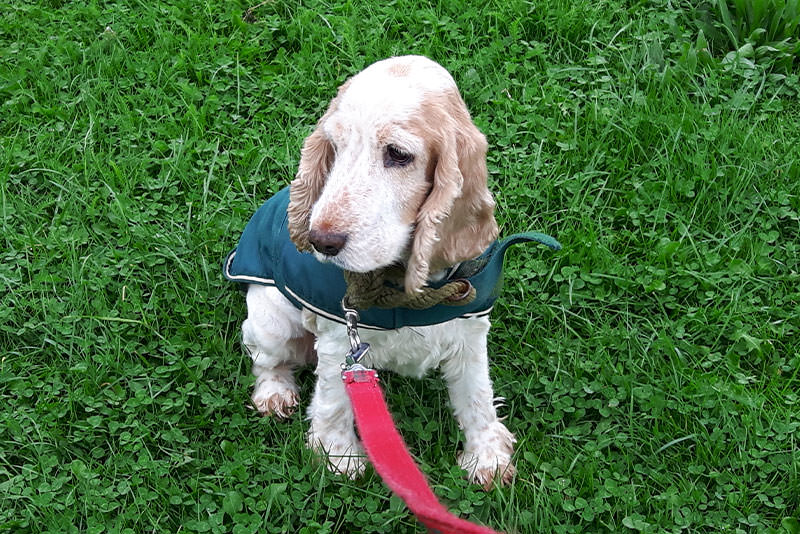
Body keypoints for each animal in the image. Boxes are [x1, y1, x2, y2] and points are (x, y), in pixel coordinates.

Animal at [231, 55, 520, 490]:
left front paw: (487, 456)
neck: (402, 287)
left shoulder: (469, 331)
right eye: (334, 147)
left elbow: (476, 394)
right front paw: (338, 454)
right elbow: (333, 397)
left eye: (398, 154)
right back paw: (275, 394)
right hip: (270, 319)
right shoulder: (339, 337)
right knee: (266, 358)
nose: (320, 241)